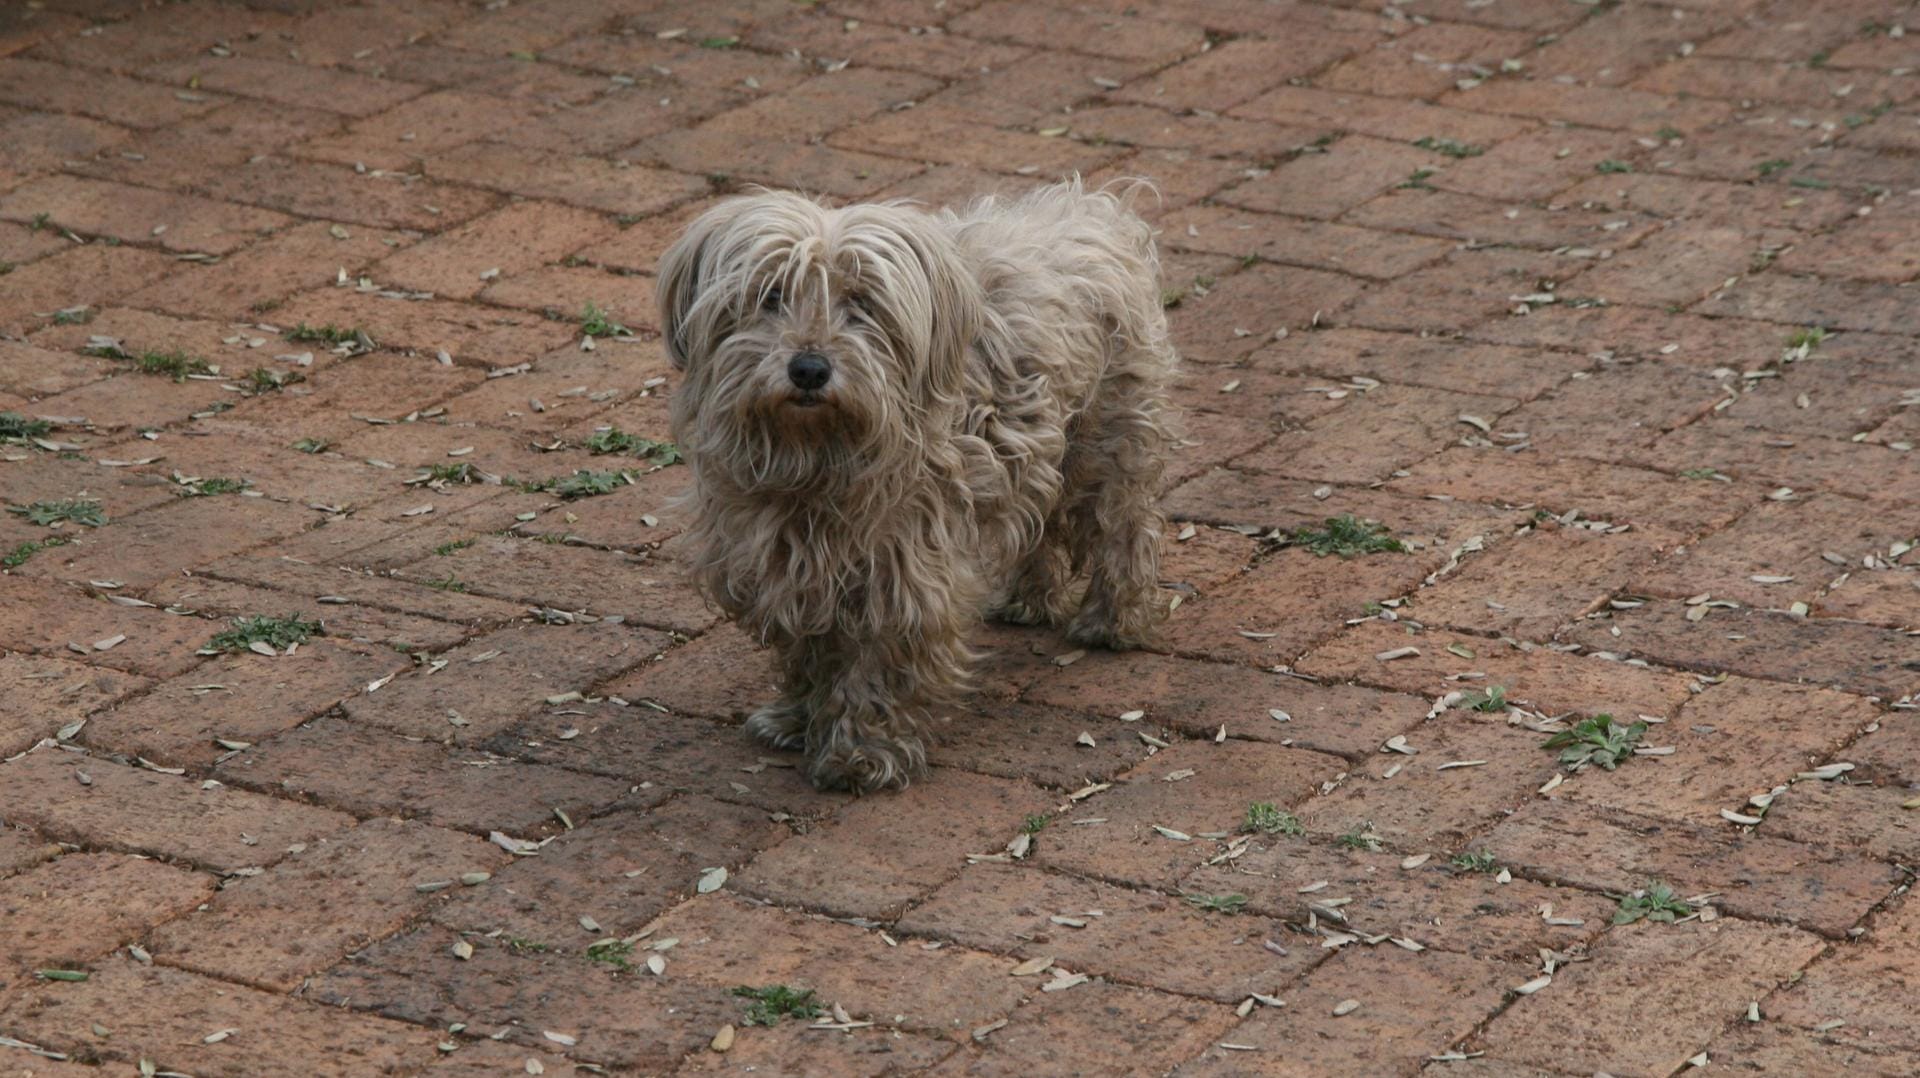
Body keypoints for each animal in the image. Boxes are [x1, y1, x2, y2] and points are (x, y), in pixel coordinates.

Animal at [656, 178, 1167, 791]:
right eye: (771, 296)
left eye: (862, 303)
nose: (809, 368)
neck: (817, 456)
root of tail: (1093, 209)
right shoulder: (783, 560)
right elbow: (808, 646)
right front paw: (798, 718)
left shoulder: (901, 565)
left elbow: (878, 659)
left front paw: (861, 753)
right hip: (1042, 447)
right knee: (1039, 521)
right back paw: (1027, 600)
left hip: (1106, 440)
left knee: (1123, 526)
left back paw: (1110, 620)